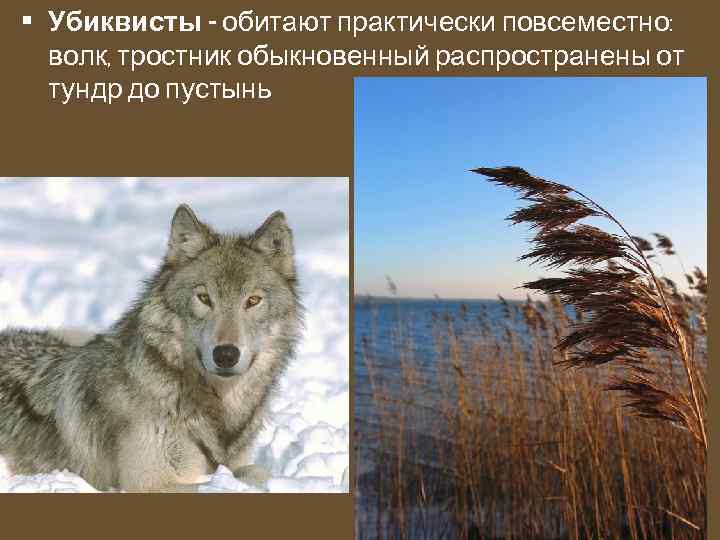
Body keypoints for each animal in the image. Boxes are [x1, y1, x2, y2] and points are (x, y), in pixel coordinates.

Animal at [0, 204, 302, 492]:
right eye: (205, 298)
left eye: (252, 301)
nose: (226, 354)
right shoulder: (148, 483)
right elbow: (234, 481)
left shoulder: (237, 462)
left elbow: (256, 471)